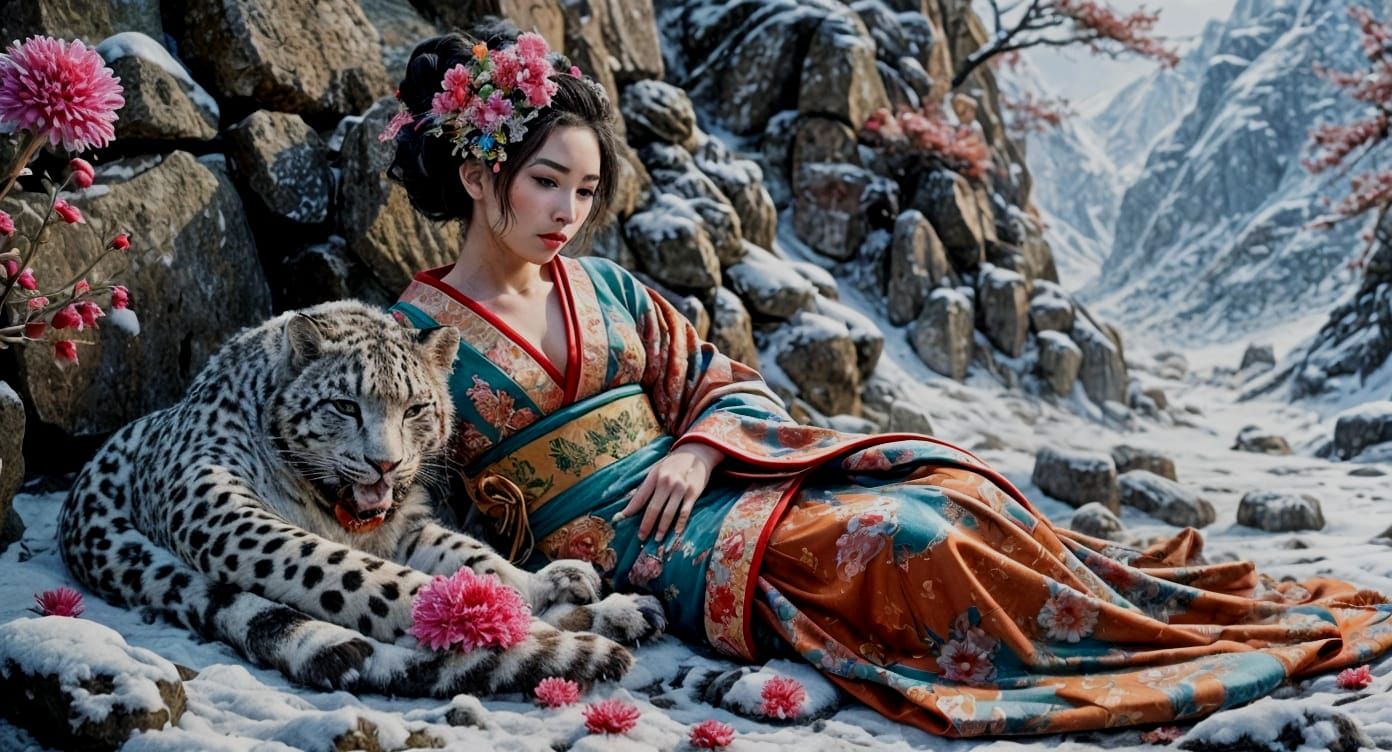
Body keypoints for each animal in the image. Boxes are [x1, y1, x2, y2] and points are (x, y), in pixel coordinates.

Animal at [58, 300, 665, 696]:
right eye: (345, 405)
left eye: (416, 408)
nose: (385, 464)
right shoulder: (219, 509)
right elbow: (369, 578)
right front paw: (529, 627)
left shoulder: (406, 527)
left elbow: (473, 559)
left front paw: (545, 586)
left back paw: (618, 609)